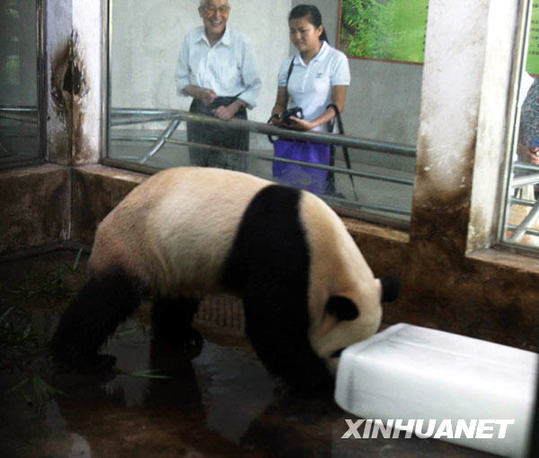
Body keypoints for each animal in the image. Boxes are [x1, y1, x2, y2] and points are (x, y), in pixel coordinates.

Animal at [52, 167, 398, 390]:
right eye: (340, 351)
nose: (342, 375)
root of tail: (105, 221)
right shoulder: (283, 252)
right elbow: (270, 323)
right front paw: (314, 379)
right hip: (134, 246)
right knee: (106, 301)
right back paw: (80, 358)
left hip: (177, 259)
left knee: (177, 300)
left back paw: (181, 336)